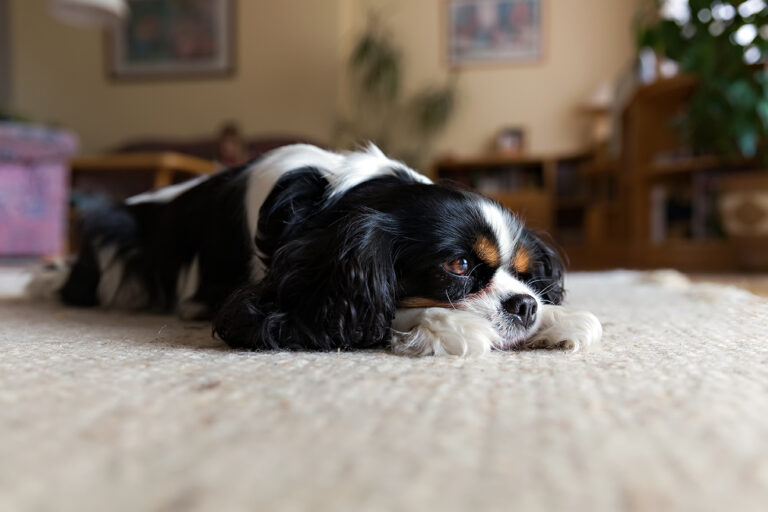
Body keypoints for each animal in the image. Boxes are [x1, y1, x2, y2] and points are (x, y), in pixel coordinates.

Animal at [33, 142, 604, 354]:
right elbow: (377, 311)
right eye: (458, 265)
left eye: (527, 275)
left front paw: (558, 319)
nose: (523, 304)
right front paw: (453, 325)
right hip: (111, 236)